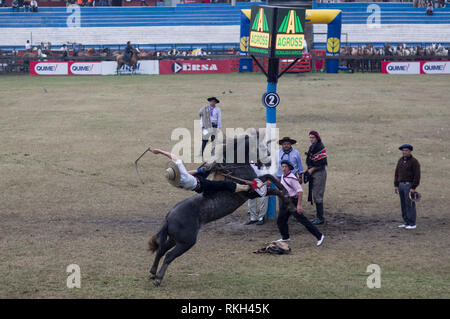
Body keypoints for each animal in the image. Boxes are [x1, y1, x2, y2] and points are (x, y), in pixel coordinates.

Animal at [146, 131, 298, 288]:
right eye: (261, 146)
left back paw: (152, 273)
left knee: (161, 250)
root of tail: (169, 216)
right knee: (168, 255)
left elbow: (269, 177)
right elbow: (270, 184)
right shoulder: (252, 192)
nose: (268, 161)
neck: (235, 168)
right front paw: (288, 200)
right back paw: (158, 278)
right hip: (186, 242)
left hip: (175, 239)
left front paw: (285, 190)